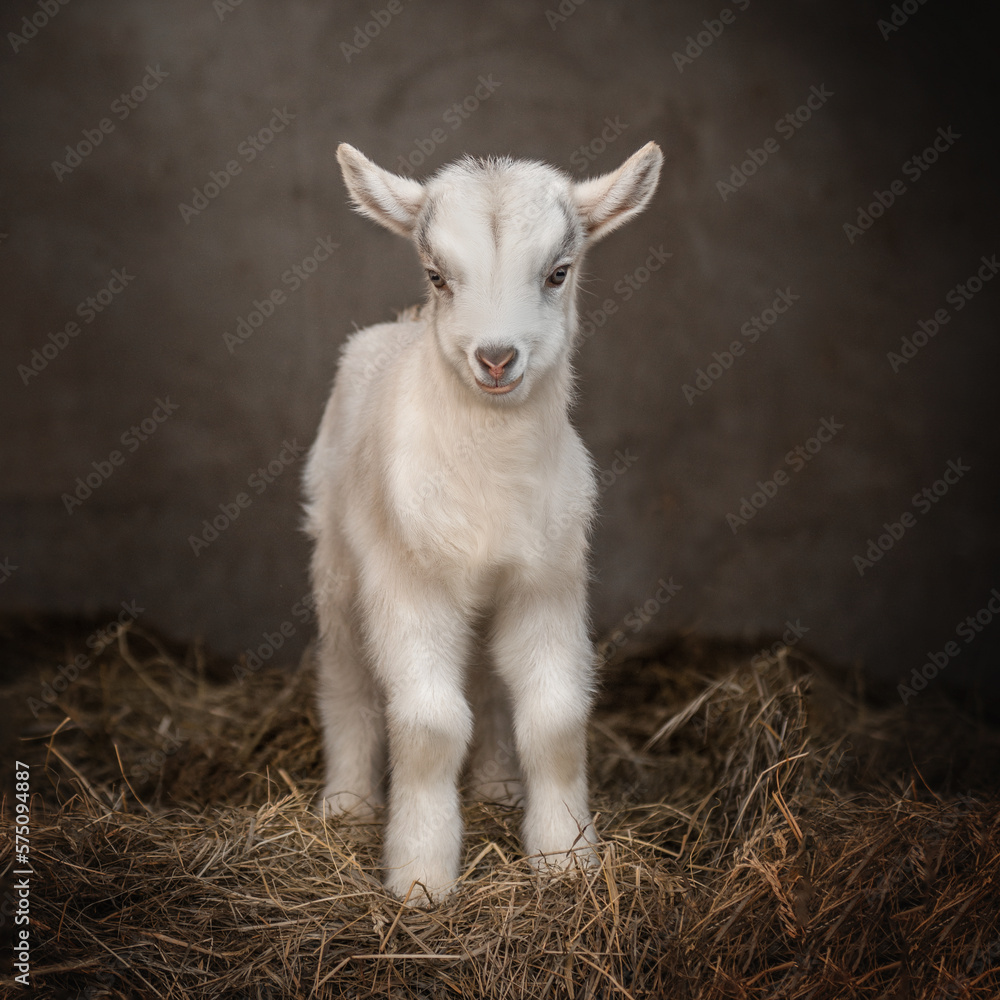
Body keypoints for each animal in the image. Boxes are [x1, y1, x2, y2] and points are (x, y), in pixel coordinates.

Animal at [303, 140, 662, 902]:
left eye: (558, 272)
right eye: (438, 275)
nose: (496, 358)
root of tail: (398, 326)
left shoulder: (548, 581)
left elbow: (554, 719)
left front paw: (566, 859)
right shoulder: (408, 584)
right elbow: (431, 723)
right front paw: (420, 876)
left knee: (492, 685)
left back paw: (497, 785)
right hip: (337, 558)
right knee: (347, 674)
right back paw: (347, 804)